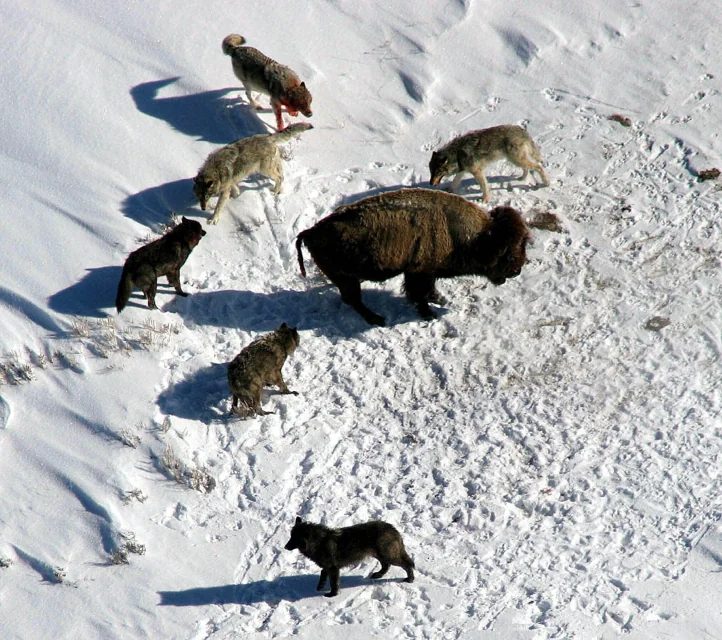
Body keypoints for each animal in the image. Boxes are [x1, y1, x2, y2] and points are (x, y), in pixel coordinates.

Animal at [284, 517, 415, 597]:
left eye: (294, 538)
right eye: (290, 536)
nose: (285, 547)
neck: (319, 542)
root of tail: (393, 528)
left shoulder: (333, 568)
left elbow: (334, 583)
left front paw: (332, 594)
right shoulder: (328, 567)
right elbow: (323, 574)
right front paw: (320, 586)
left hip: (388, 555)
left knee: (407, 564)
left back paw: (410, 579)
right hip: (379, 554)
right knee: (386, 565)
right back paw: (378, 574)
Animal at [296, 188, 530, 326]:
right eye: (508, 255)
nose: (517, 271)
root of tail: (311, 232)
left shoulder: (425, 273)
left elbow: (429, 290)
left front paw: (439, 299)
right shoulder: (419, 273)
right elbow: (420, 294)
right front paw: (429, 313)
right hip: (346, 278)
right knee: (353, 300)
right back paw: (377, 319)